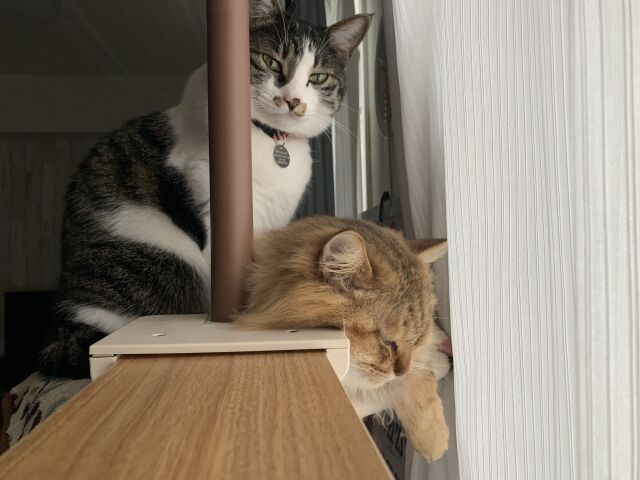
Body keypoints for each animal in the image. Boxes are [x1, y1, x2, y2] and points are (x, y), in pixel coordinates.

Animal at [39, 0, 371, 378]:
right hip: (156, 264)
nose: (293, 100)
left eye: (318, 77)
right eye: (271, 61)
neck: (269, 140)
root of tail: (65, 331)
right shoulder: (211, 208)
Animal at [235, 215, 451, 462]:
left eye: (416, 342)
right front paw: (436, 442)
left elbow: (421, 380)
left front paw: (434, 439)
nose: (400, 372)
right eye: (388, 341)